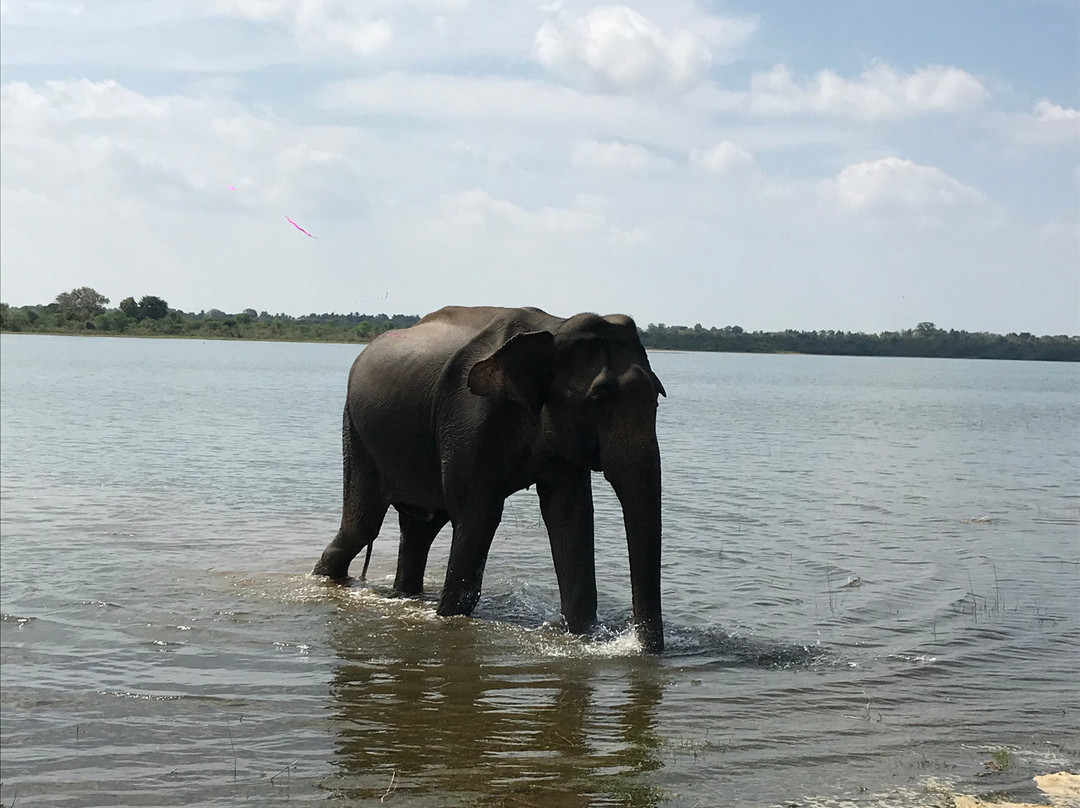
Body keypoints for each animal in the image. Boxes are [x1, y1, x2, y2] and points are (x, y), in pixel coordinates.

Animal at [313, 305, 666, 653]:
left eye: (658, 397)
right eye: (597, 401)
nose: (644, 649)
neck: (555, 327)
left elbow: (570, 516)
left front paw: (584, 636)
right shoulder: (470, 415)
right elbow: (479, 516)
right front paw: (448, 621)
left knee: (419, 528)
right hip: (356, 430)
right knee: (362, 526)